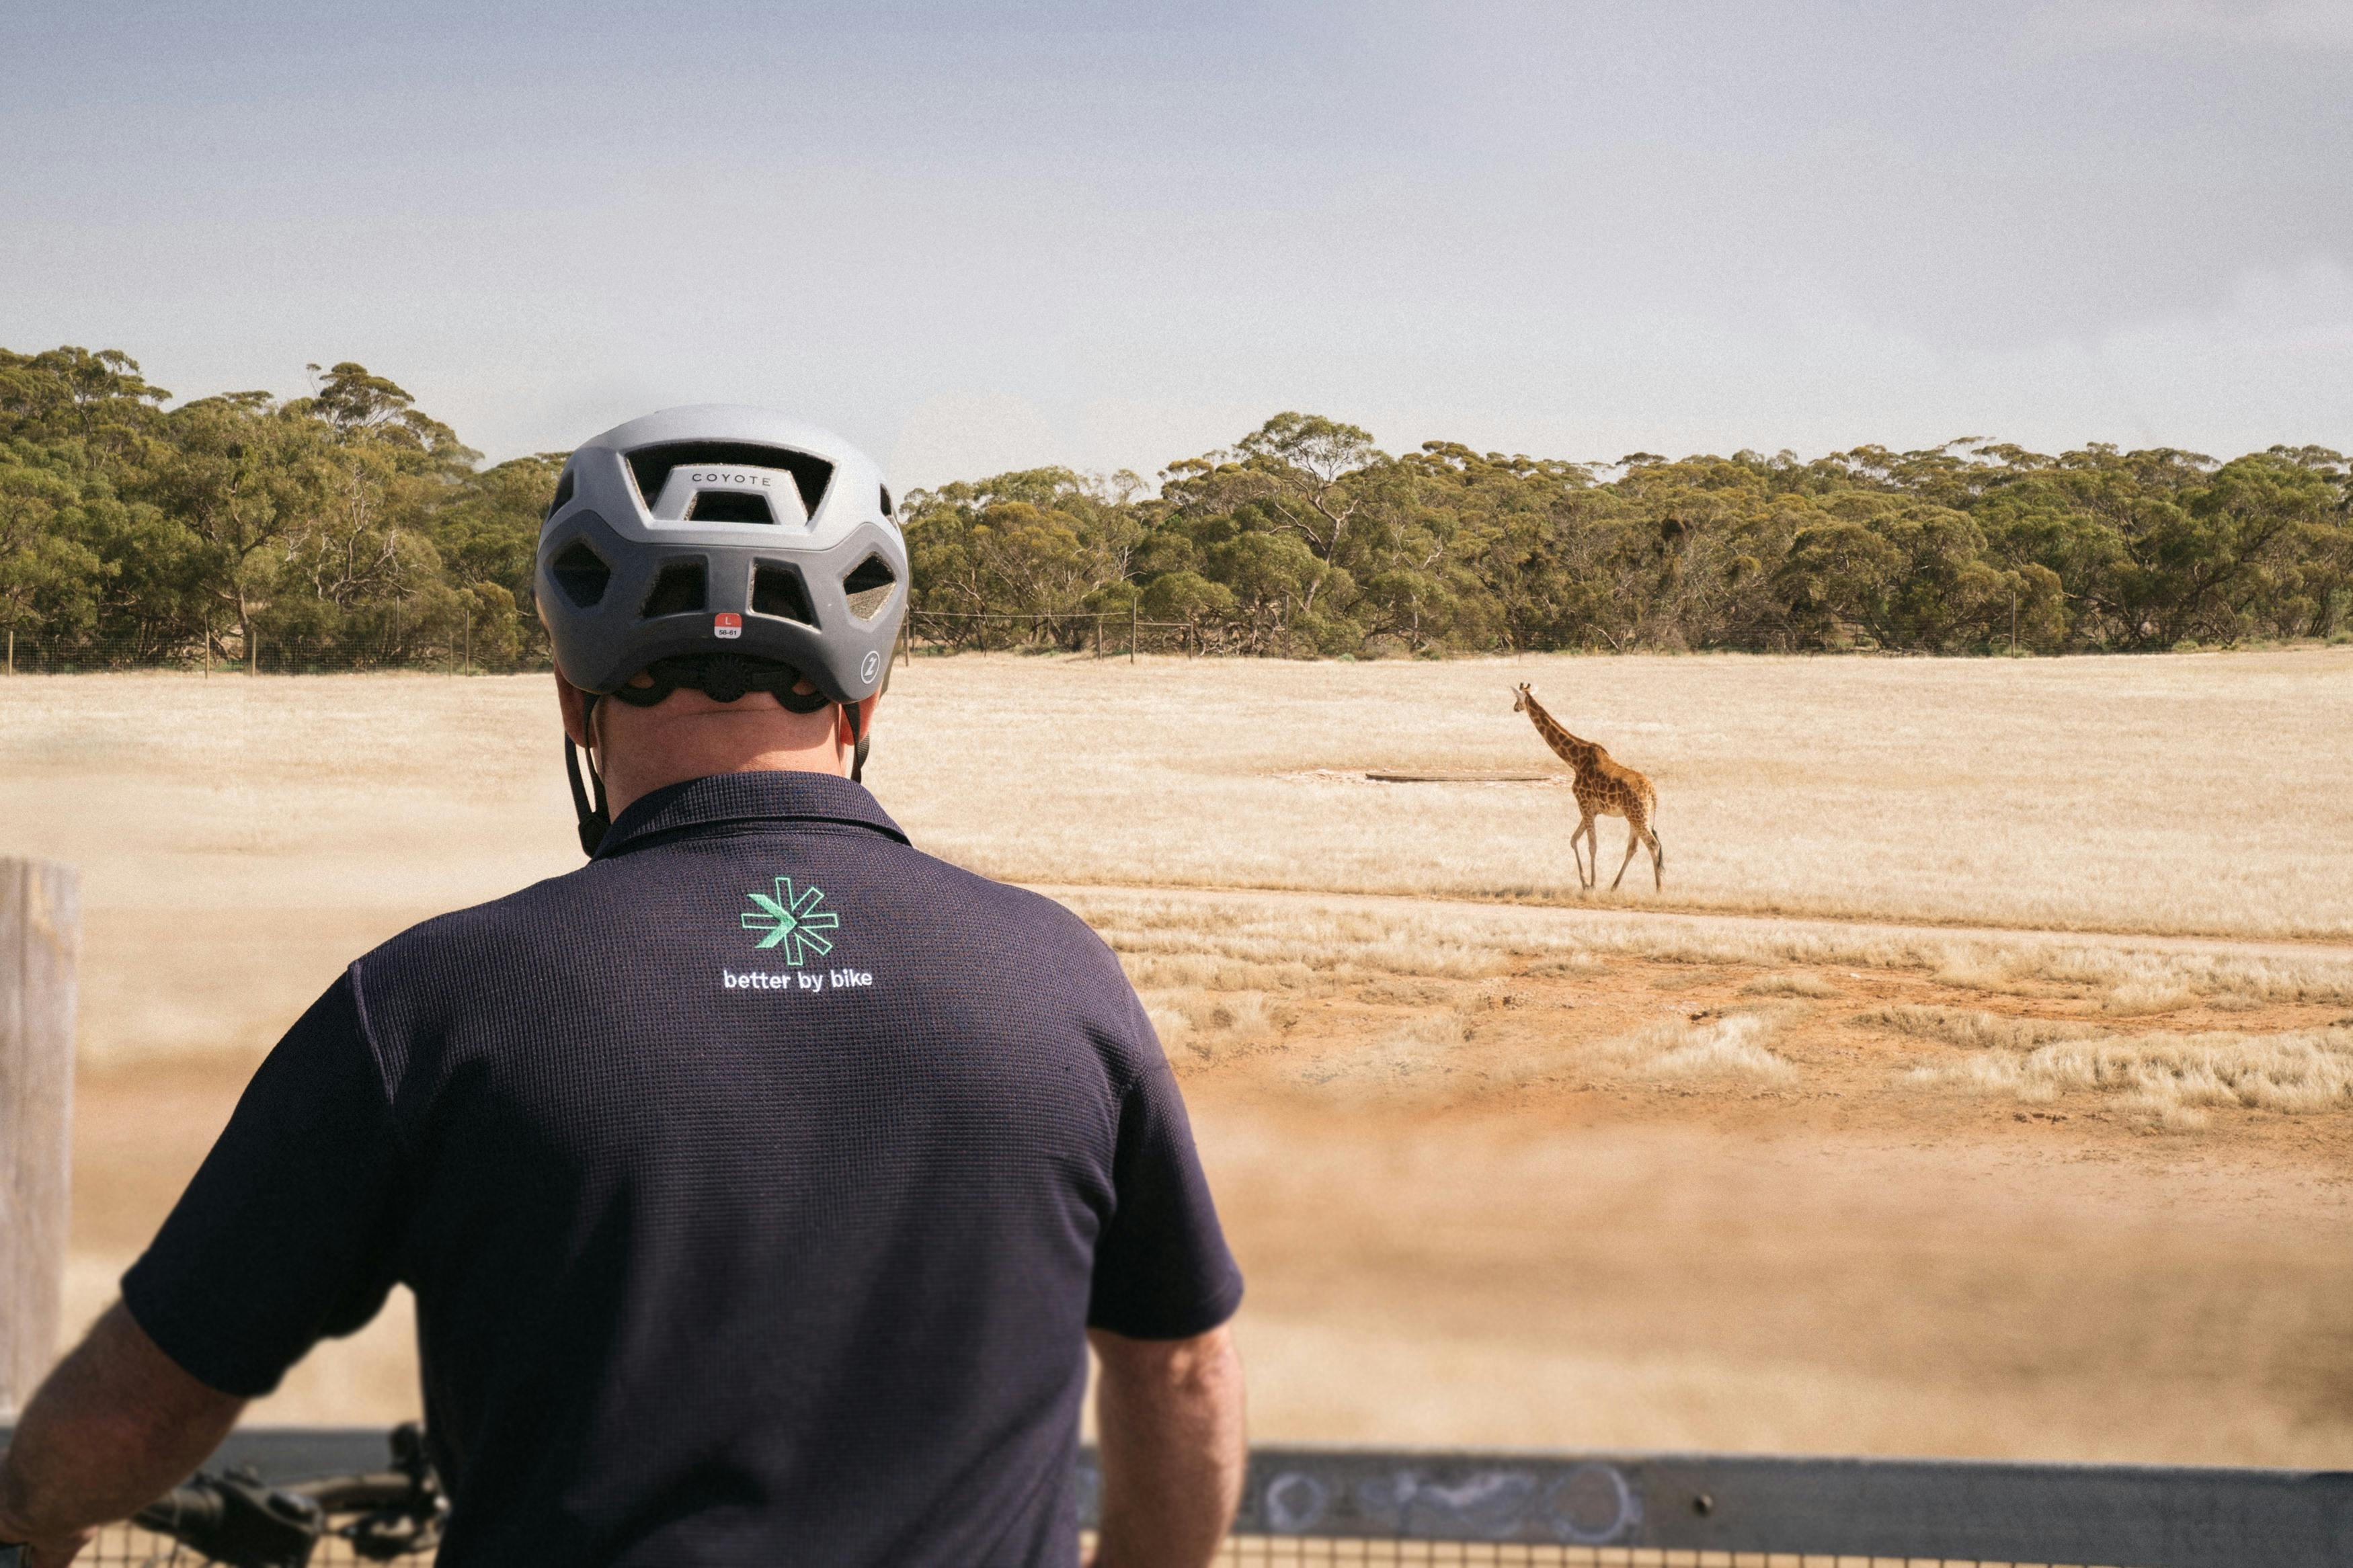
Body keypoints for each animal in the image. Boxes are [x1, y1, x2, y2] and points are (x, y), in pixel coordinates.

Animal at [1512, 683, 1664, 892]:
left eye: (1517, 699)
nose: (1515, 708)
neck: (1575, 760)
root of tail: (1652, 793)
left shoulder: (1583, 803)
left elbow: (1592, 845)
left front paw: (1592, 884)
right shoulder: (1594, 809)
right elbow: (1574, 839)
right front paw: (1585, 883)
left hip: (1638, 816)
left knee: (1653, 844)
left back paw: (1659, 889)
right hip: (1636, 816)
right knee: (1634, 847)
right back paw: (1614, 886)